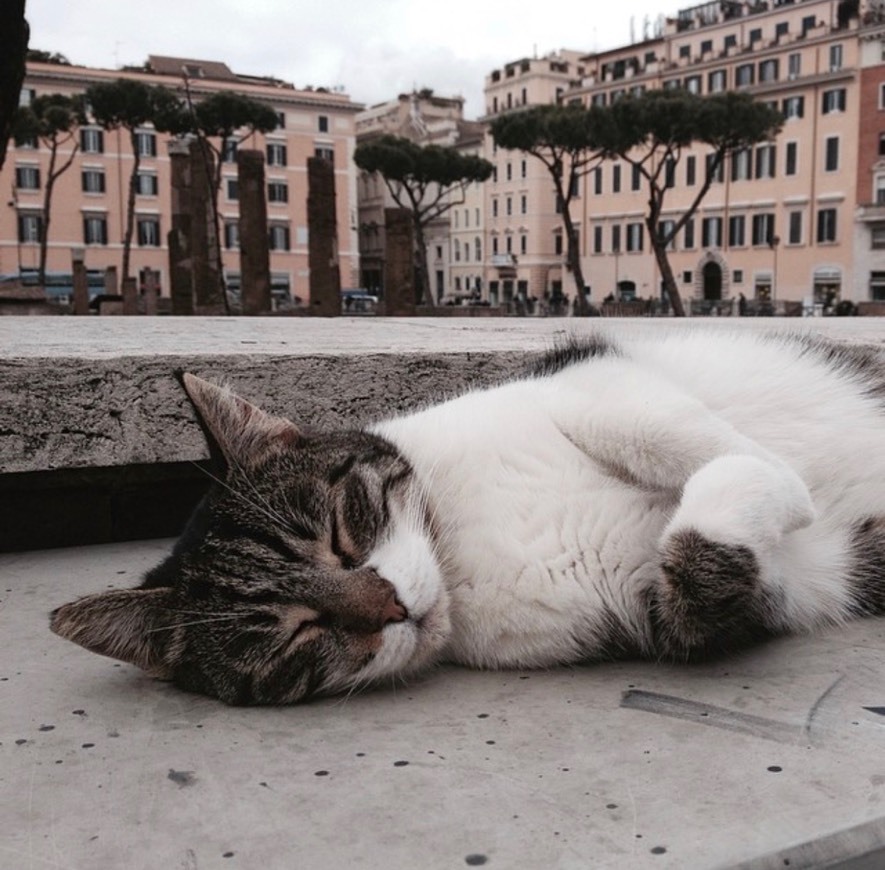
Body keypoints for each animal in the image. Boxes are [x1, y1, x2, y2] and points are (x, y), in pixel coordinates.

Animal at [50, 332, 885, 708]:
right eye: (294, 633)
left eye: (341, 532)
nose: (391, 608)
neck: (459, 549)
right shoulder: (685, 608)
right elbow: (703, 567)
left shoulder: (589, 380)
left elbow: (662, 431)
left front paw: (781, 476)